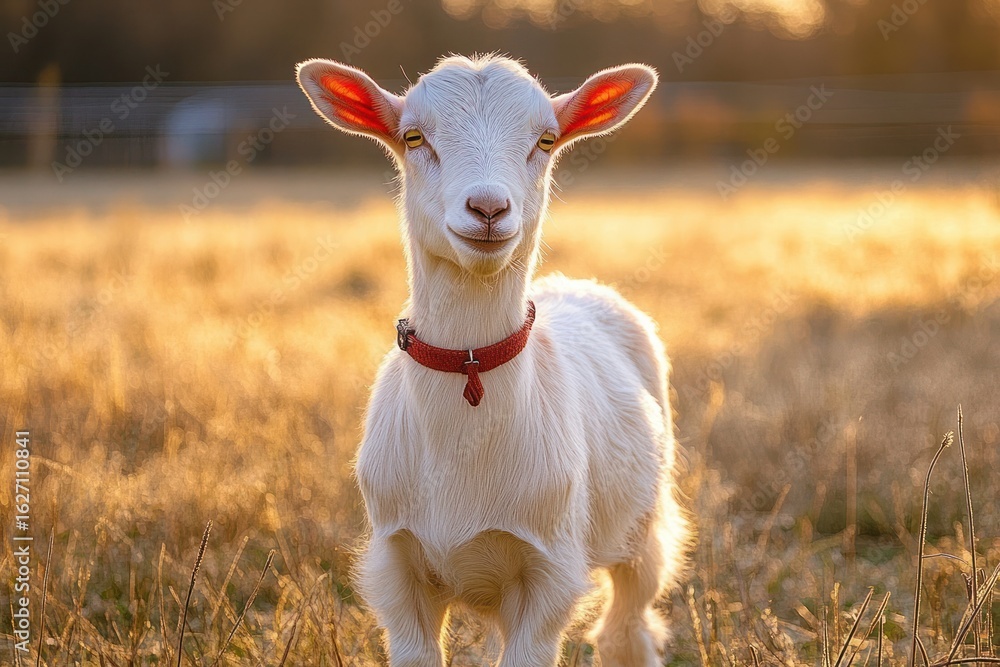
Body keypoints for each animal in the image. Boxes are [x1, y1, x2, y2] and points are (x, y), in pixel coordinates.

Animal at [297, 54, 689, 667]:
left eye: (545, 141)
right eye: (413, 137)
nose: (487, 208)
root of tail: (575, 283)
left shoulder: (551, 570)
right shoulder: (394, 565)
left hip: (644, 527)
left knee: (626, 627)